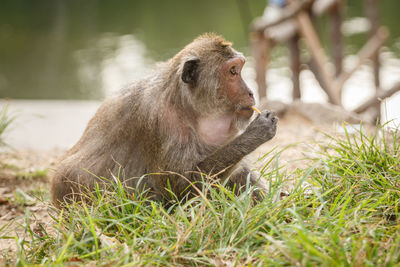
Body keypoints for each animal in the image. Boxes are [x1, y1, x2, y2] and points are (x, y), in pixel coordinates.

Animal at [51, 33, 278, 207]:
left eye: (239, 68)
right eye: (232, 71)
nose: (250, 93)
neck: (189, 107)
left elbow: (241, 174)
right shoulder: (160, 122)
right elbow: (180, 187)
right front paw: (255, 133)